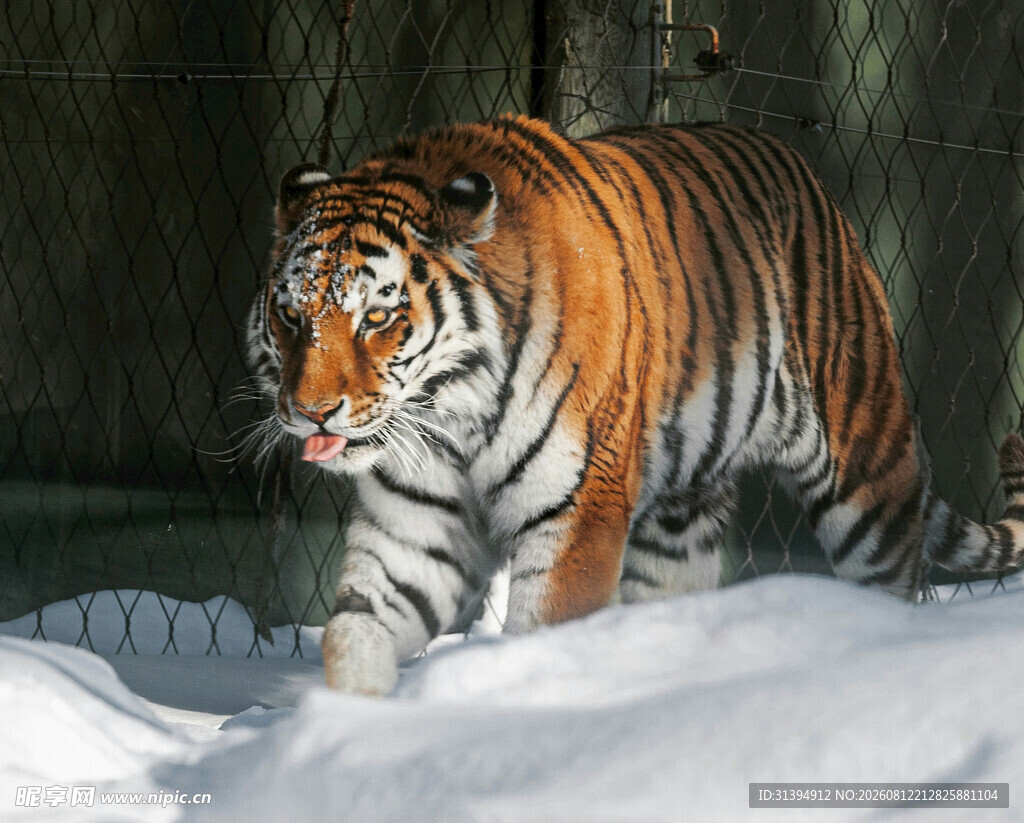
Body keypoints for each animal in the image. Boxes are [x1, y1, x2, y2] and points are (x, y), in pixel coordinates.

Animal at [246, 115, 1024, 695]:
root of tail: (819, 191)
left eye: (377, 318)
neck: (449, 411)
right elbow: (354, 632)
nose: (312, 411)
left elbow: (543, 632)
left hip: (867, 480)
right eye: (290, 315)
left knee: (889, 581)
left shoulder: (577, 509)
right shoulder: (416, 525)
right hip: (677, 524)